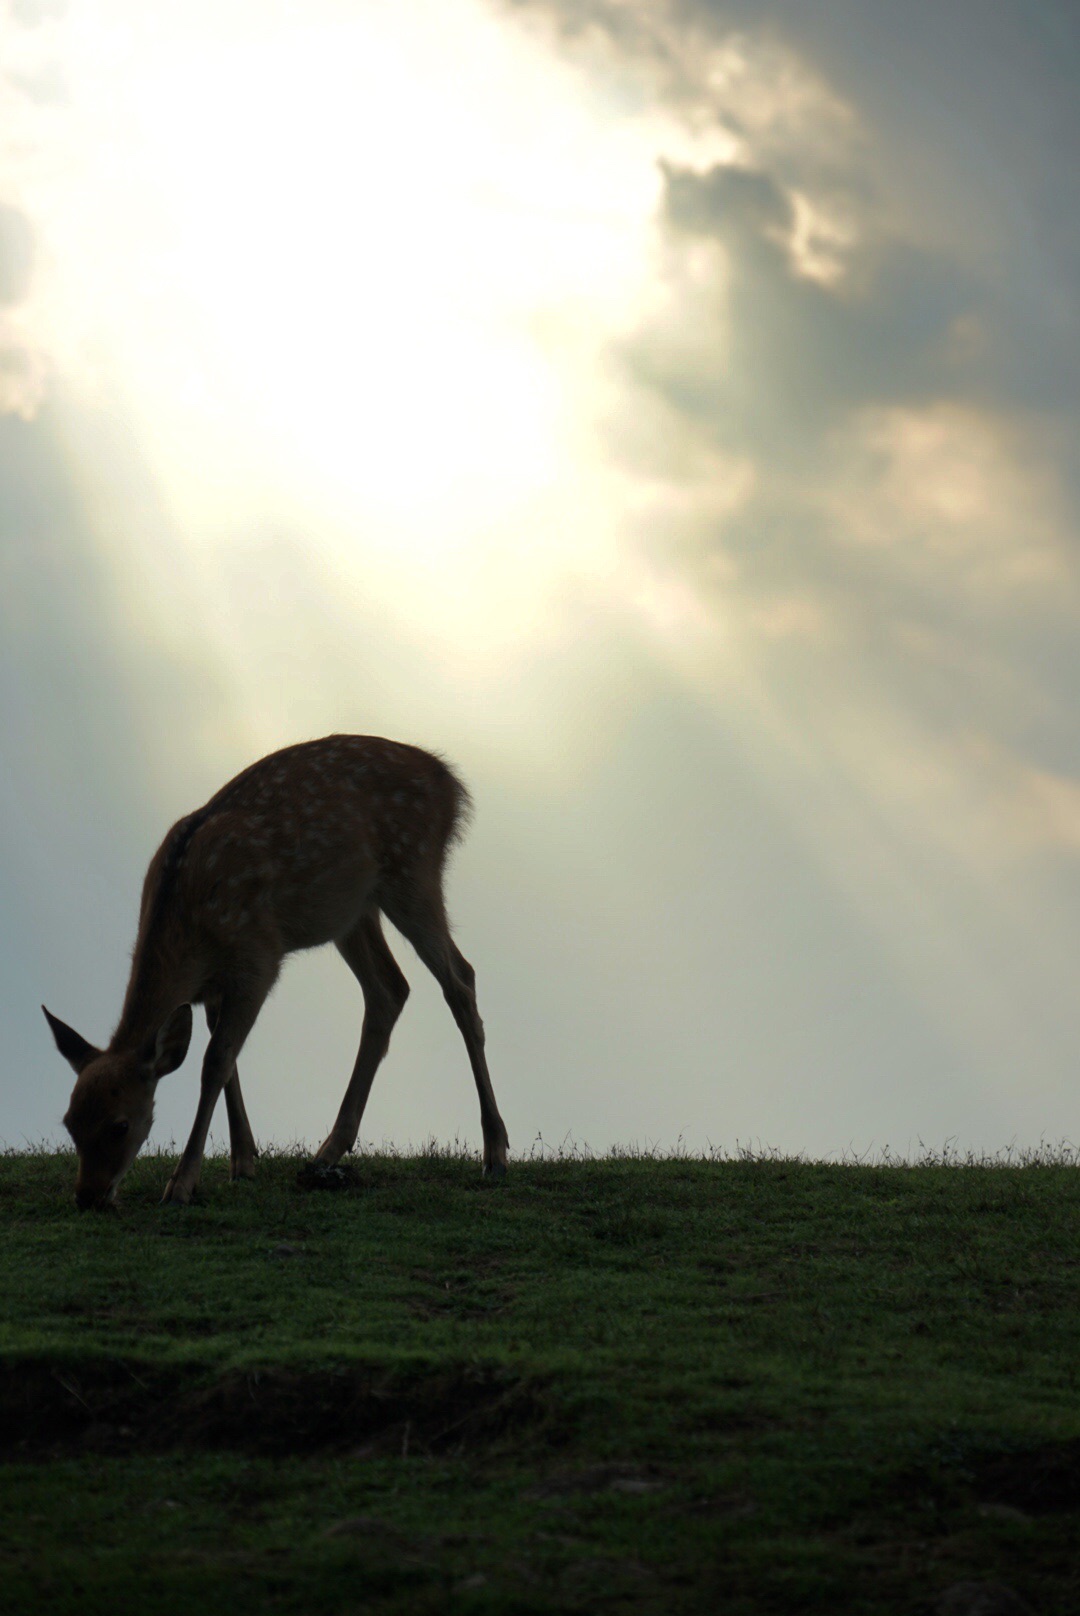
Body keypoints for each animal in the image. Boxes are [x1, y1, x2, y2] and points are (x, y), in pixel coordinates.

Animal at [43, 740, 510, 1208]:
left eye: (119, 1125)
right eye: (69, 1123)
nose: (88, 1196)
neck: (191, 938)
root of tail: (449, 781)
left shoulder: (258, 958)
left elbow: (215, 1061)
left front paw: (182, 1183)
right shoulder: (216, 987)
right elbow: (225, 1058)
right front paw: (243, 1161)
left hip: (412, 871)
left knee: (459, 979)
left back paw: (495, 1150)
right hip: (353, 909)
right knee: (390, 988)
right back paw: (329, 1149)